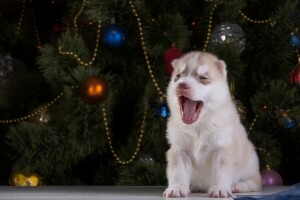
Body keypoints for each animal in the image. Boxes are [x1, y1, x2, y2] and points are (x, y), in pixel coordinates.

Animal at [163, 50, 262, 198]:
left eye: (203, 78)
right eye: (178, 76)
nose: (182, 85)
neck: (199, 126)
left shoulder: (223, 148)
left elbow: (221, 173)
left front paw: (219, 189)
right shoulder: (179, 150)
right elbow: (178, 172)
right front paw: (177, 188)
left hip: (251, 163)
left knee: (255, 181)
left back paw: (238, 186)